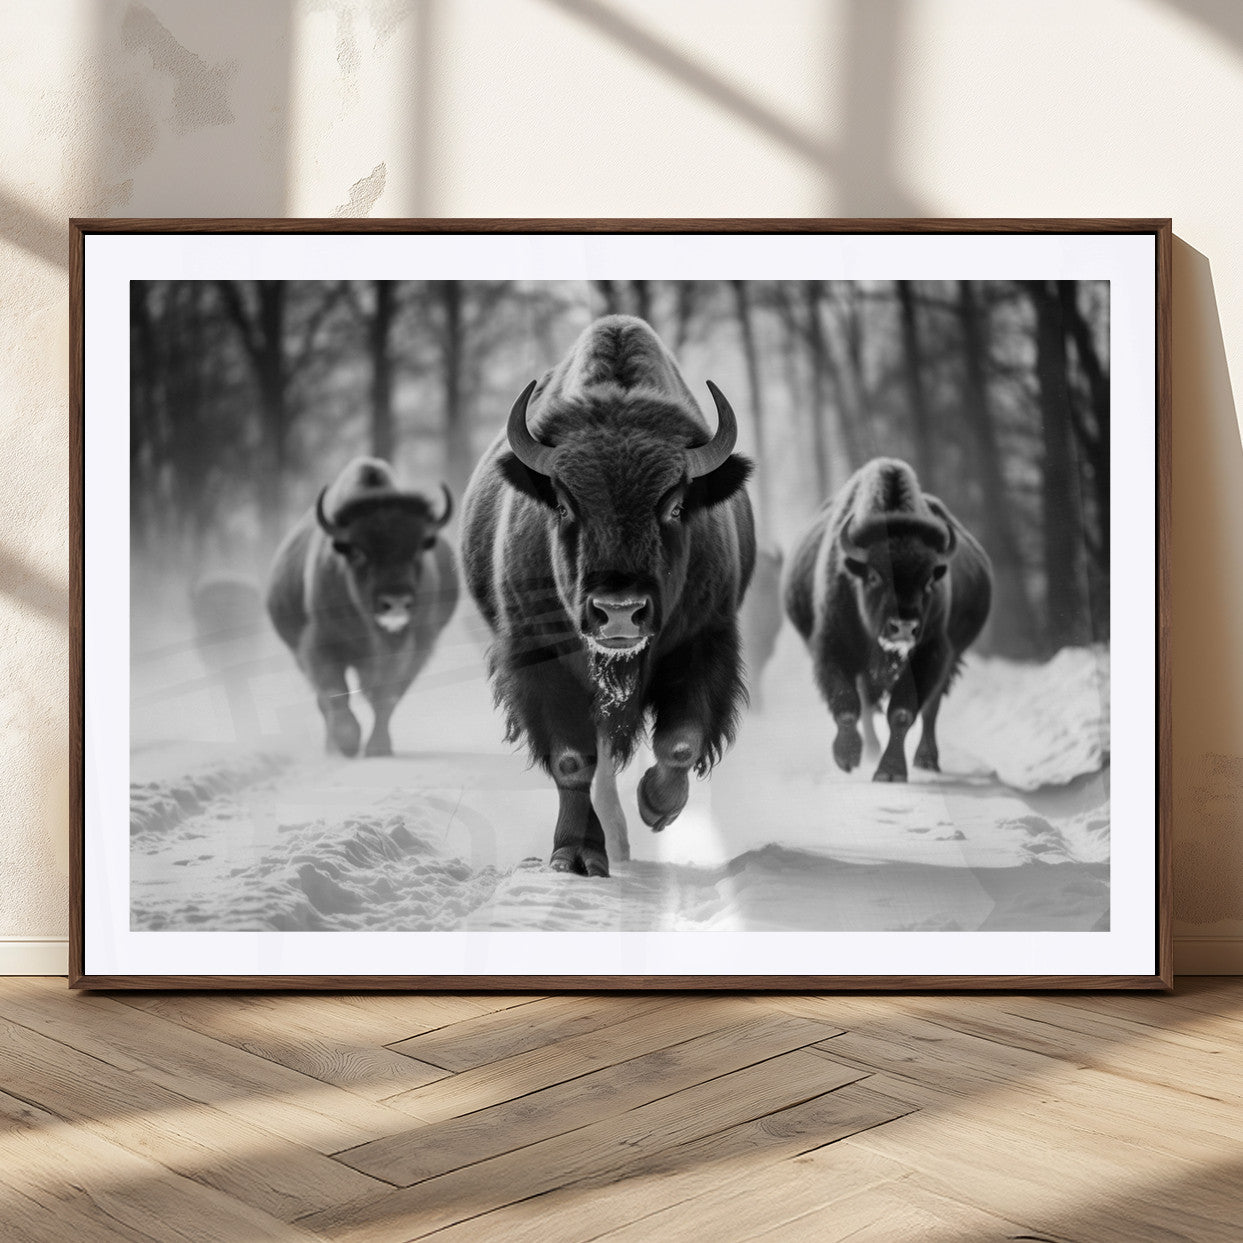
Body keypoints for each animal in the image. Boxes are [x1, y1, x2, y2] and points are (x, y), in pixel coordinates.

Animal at [266, 458, 458, 757]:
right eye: (357, 551)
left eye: (417, 549)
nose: (395, 601)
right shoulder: (320, 646)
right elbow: (334, 693)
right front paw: (347, 742)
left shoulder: (415, 647)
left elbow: (387, 697)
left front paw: (378, 747)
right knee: (325, 700)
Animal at [461, 315, 756, 876]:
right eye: (561, 504)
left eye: (676, 506)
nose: (619, 613)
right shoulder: (541, 659)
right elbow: (573, 761)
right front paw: (573, 855)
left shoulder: (705, 643)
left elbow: (680, 742)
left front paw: (657, 807)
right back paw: (607, 846)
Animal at [784, 457, 992, 782]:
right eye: (873, 576)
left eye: (929, 581)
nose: (903, 627)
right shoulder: (833, 649)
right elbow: (847, 705)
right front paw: (847, 757)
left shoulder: (931, 653)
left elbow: (902, 713)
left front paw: (889, 772)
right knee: (869, 705)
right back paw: (870, 750)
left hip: (950, 659)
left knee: (931, 709)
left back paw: (926, 760)